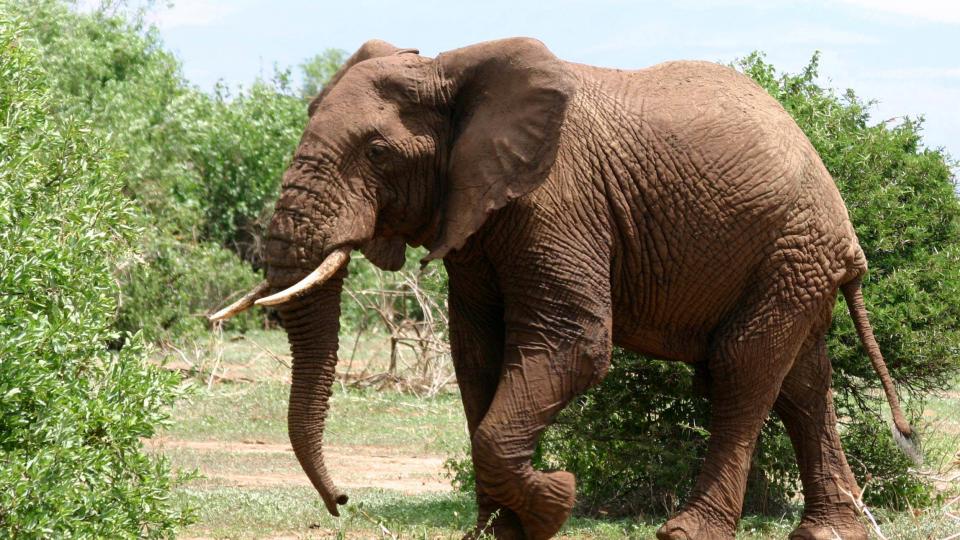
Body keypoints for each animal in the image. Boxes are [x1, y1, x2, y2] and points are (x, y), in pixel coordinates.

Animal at [209, 37, 917, 540]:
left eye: (377, 152)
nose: (343, 501)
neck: (448, 67)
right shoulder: (476, 217)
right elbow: (477, 354)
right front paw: (500, 532)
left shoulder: (558, 201)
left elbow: (571, 344)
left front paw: (556, 501)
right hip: (794, 262)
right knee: (801, 381)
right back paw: (828, 533)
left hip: (791, 246)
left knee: (742, 368)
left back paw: (687, 533)